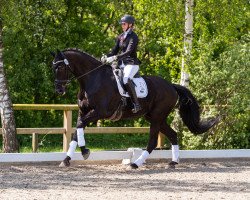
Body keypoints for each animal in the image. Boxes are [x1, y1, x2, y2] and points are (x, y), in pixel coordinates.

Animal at [51, 48, 218, 169]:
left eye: (61, 67)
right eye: (53, 67)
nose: (59, 90)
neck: (92, 79)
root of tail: (171, 86)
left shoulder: (100, 112)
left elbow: (79, 126)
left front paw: (85, 151)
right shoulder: (83, 112)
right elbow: (76, 132)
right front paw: (66, 160)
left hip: (157, 117)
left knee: (152, 142)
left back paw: (135, 164)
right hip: (155, 117)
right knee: (173, 135)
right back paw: (173, 162)